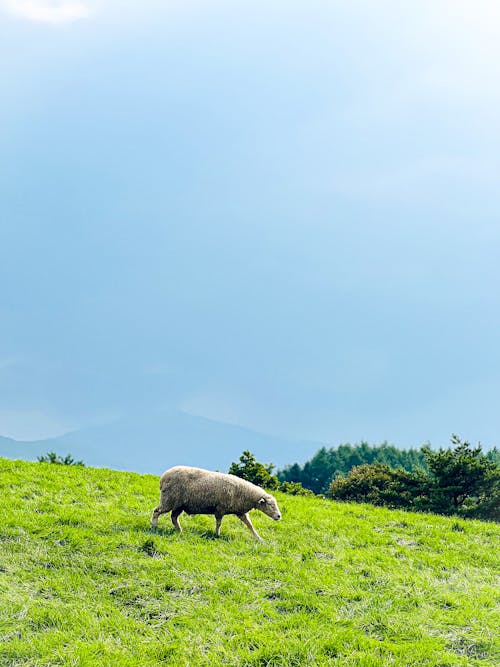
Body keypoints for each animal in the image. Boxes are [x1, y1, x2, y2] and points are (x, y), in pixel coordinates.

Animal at [148, 468, 282, 540]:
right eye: (270, 505)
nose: (279, 516)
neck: (246, 494)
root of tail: (163, 477)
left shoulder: (240, 512)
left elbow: (250, 525)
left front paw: (259, 538)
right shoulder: (220, 509)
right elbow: (219, 523)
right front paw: (217, 534)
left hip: (179, 504)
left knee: (174, 517)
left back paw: (179, 530)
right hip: (169, 500)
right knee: (157, 511)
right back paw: (154, 526)